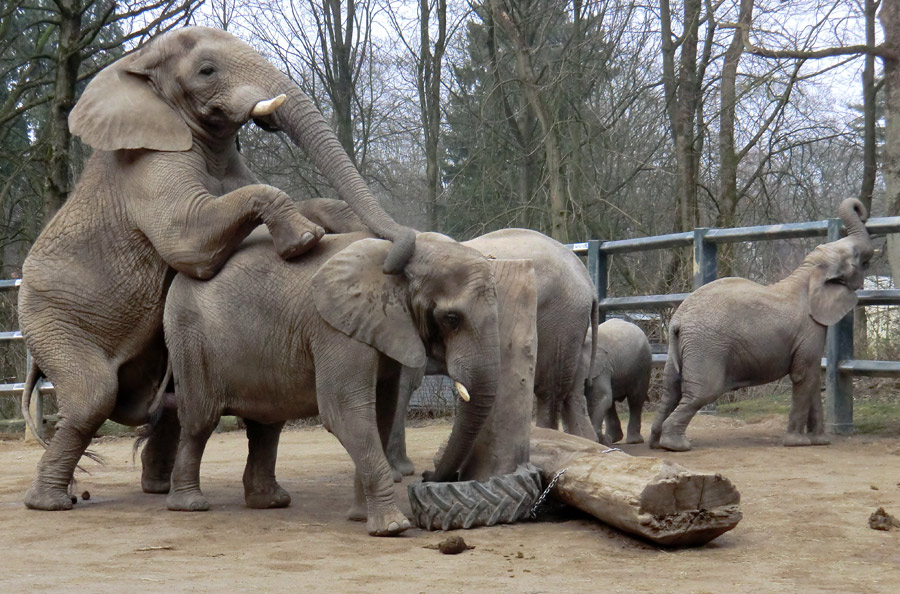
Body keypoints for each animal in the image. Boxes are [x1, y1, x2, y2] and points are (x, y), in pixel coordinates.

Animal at [20, 26, 414, 508]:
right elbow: (187, 237)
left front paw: (329, 226)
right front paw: (305, 241)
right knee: (93, 396)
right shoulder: (147, 167)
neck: (141, 63)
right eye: (207, 71)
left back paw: (154, 489)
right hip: (50, 319)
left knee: (163, 401)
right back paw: (52, 502)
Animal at [162, 229, 500, 536]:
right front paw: (393, 527)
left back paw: (270, 502)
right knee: (200, 422)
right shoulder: (335, 330)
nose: (428, 474)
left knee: (267, 425)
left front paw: (363, 518)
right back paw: (190, 505)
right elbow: (345, 411)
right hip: (189, 339)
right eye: (451, 319)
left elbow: (382, 413)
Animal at [652, 197, 876, 450]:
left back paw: (655, 442)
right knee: (701, 393)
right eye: (855, 255)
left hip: (681, 348)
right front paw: (798, 443)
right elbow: (804, 375)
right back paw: (677, 445)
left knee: (670, 391)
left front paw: (821, 442)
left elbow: (812, 377)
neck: (809, 272)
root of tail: (678, 320)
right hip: (706, 347)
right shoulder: (809, 328)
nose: (862, 211)